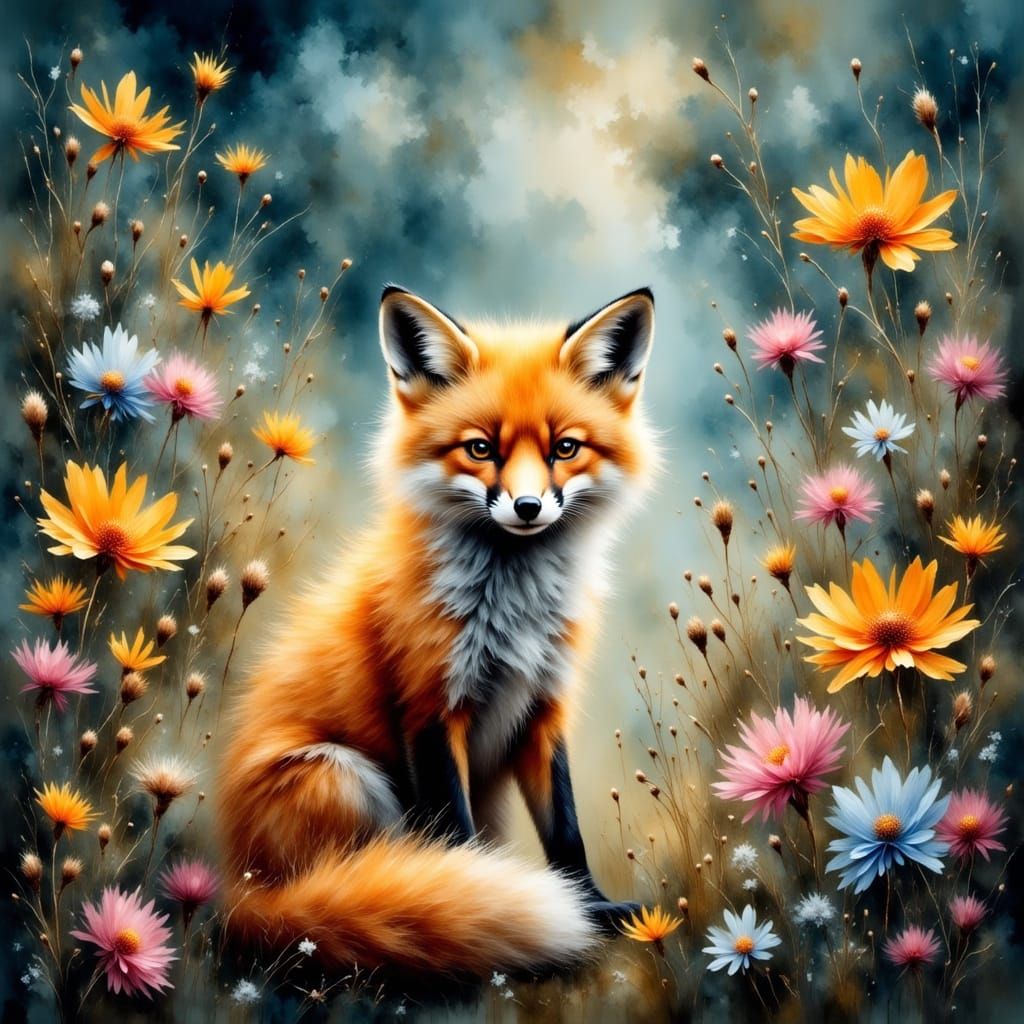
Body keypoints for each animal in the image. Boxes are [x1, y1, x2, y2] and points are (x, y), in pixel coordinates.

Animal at [218, 284, 657, 975]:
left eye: (565, 448)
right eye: (480, 449)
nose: (528, 508)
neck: (513, 613)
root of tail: (236, 889)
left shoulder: (543, 708)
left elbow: (566, 832)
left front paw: (592, 907)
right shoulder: (429, 708)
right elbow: (456, 836)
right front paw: (476, 903)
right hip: (344, 777)